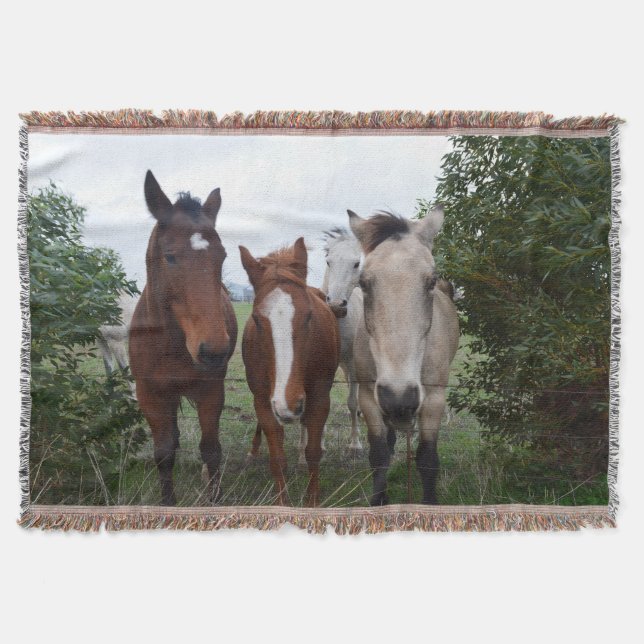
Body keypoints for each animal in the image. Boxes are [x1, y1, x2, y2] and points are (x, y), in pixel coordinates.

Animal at [129, 171, 237, 506]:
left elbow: (211, 450)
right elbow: (163, 453)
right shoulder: (150, 394)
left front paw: (215, 499)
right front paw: (168, 503)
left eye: (222, 256)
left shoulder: (212, 390)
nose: (213, 351)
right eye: (170, 257)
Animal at [240, 238, 339, 506]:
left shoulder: (319, 398)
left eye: (309, 315)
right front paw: (282, 504)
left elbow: (313, 451)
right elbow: (277, 457)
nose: (289, 404)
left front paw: (312, 502)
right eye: (256, 319)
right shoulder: (263, 400)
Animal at [348, 206, 459, 505]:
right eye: (363, 283)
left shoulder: (433, 399)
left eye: (431, 280)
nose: (400, 397)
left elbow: (428, 459)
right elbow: (378, 456)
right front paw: (379, 502)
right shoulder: (369, 397)